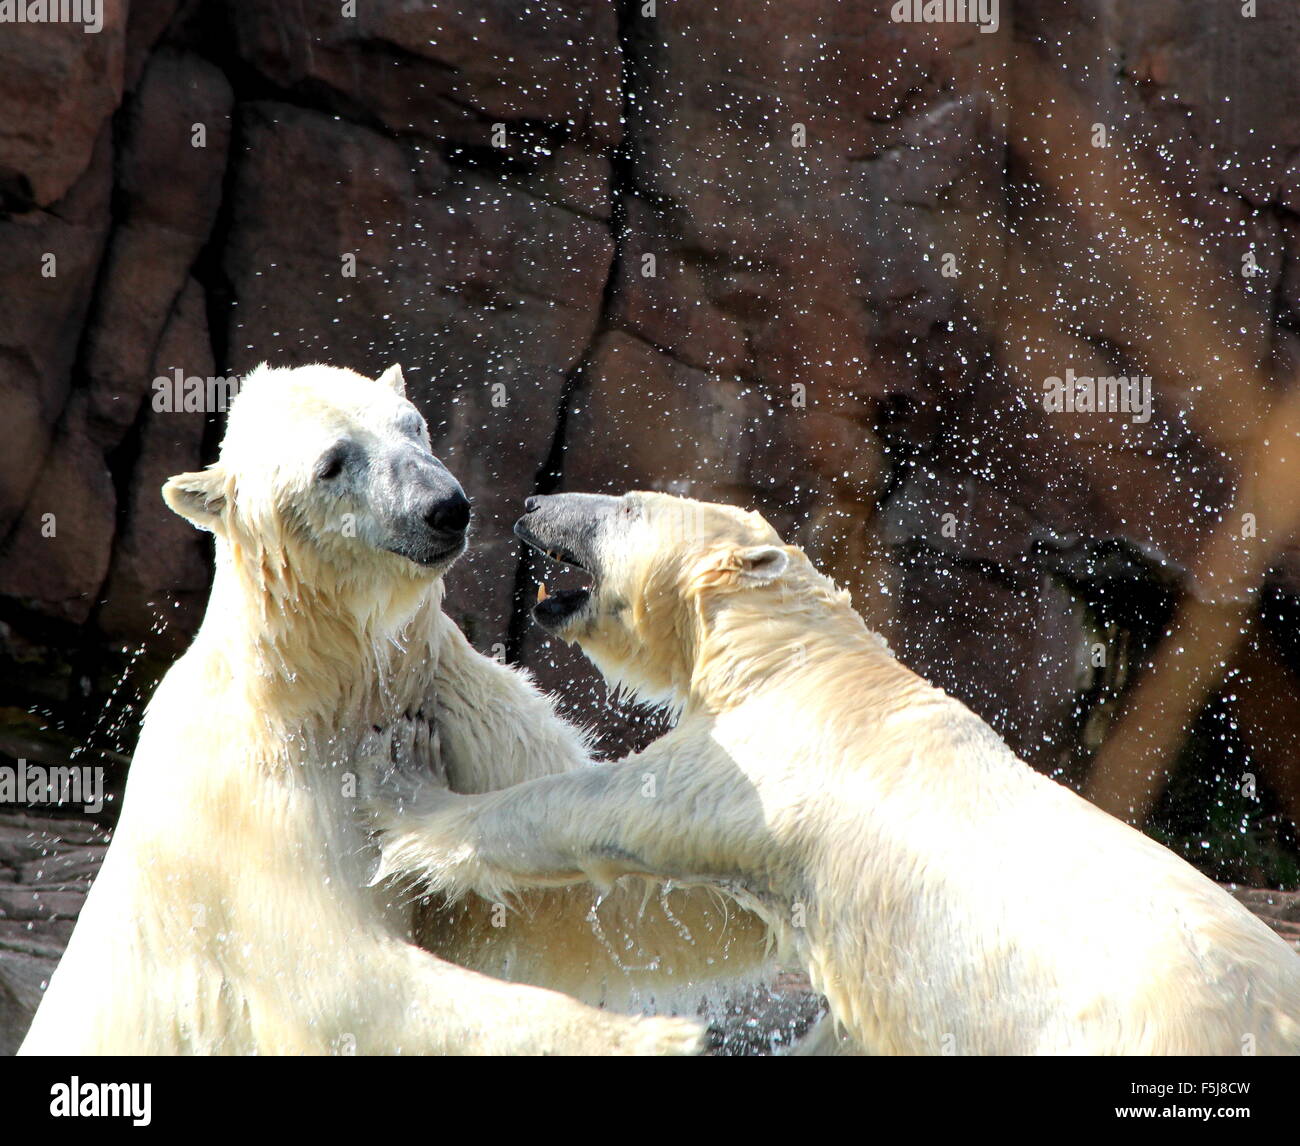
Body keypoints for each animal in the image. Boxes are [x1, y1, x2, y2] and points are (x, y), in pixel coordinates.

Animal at [17, 366, 769, 1055]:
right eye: (332, 462)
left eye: (414, 426)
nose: (446, 507)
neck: (332, 692)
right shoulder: (249, 814)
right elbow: (343, 988)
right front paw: (652, 1036)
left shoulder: (448, 699)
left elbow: (601, 891)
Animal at [374, 491, 1300, 1055]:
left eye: (628, 505)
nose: (534, 503)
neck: (803, 662)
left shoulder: (765, 767)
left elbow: (594, 814)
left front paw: (406, 783)